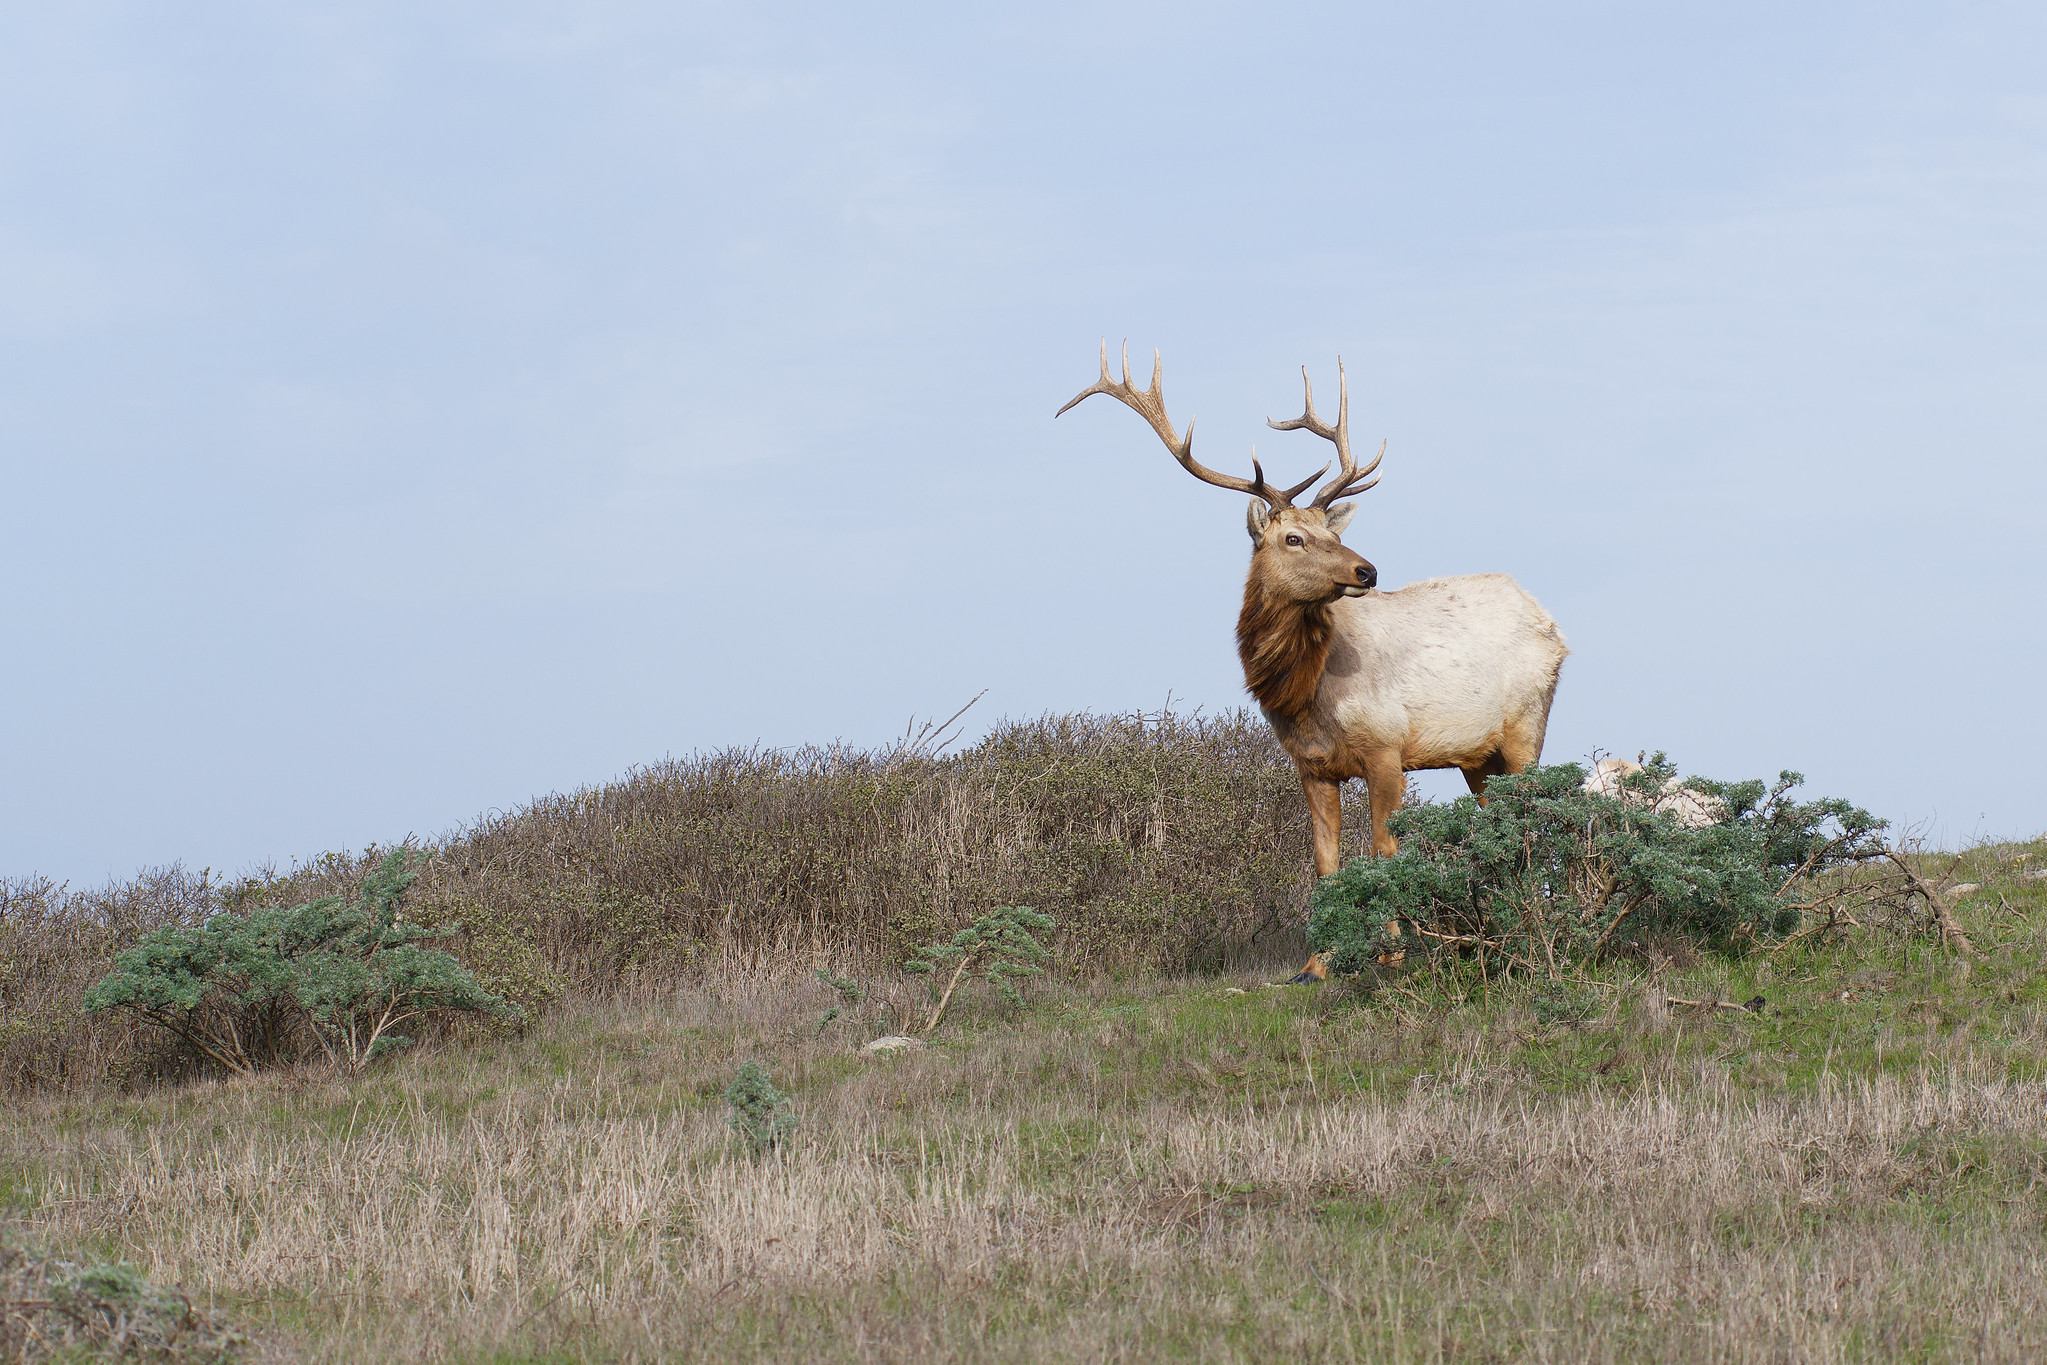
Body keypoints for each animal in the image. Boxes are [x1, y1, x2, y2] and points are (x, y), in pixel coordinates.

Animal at [1056, 343, 1563, 970]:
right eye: (1293, 538)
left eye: (1331, 531)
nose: (1367, 570)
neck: (1306, 695)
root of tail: (1550, 622)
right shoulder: (1311, 765)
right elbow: (1325, 863)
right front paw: (1316, 965)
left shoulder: (1387, 747)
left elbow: (1384, 852)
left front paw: (1392, 957)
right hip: (1478, 756)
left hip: (1527, 726)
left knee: (1531, 821)